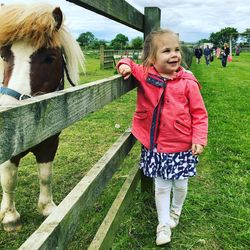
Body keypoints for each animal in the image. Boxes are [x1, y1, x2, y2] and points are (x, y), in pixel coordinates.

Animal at [0, 2, 84, 231]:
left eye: (50, 58)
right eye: (4, 55)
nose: (9, 110)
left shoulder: (50, 142)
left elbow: (46, 174)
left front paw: (47, 208)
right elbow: (8, 179)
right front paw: (10, 217)